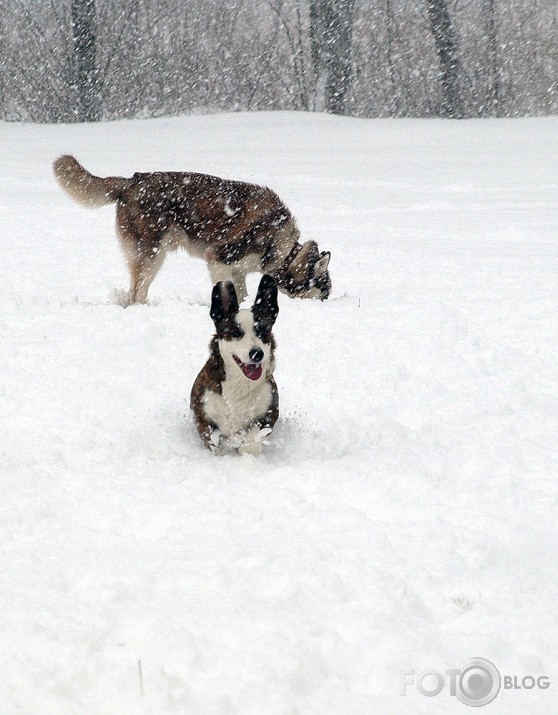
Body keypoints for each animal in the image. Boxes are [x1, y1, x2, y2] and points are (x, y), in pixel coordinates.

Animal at [52, 155, 332, 304]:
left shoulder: (238, 270)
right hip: (153, 255)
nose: (327, 304)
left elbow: (241, 295)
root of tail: (132, 180)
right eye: (324, 294)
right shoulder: (217, 259)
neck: (281, 247)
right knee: (137, 294)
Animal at [191, 274, 280, 454]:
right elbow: (212, 439)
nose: (257, 354)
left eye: (263, 330)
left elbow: (252, 438)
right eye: (236, 333)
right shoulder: (202, 414)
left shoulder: (269, 414)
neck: (239, 382)